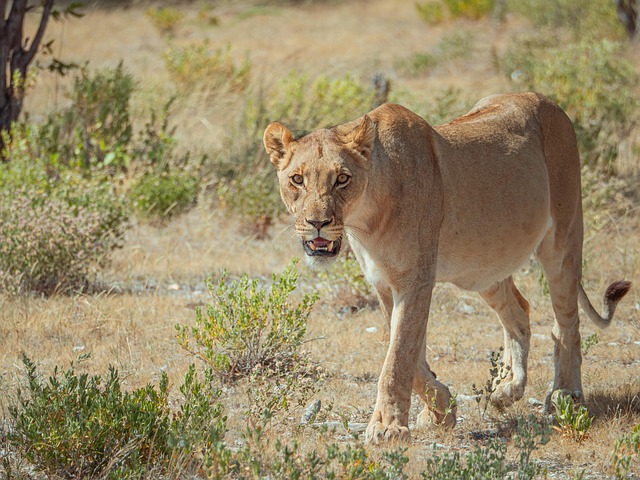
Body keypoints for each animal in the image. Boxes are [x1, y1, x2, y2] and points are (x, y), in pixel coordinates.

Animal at [263, 92, 631, 444]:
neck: (365, 218)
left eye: (342, 179)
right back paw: (508, 388)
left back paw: (566, 394)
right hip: (485, 267)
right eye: (297, 179)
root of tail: (550, 102)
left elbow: (398, 358)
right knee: (519, 311)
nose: (317, 223)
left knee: (566, 324)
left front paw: (388, 428)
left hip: (562, 240)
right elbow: (411, 357)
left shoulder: (415, 280)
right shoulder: (384, 285)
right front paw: (440, 410)